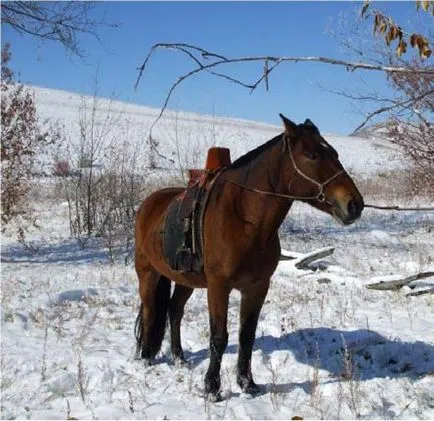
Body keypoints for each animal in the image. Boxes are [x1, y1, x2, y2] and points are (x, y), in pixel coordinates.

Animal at [134, 113, 364, 398]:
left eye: (334, 153)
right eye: (311, 155)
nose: (354, 204)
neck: (244, 219)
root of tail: (149, 204)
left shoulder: (256, 287)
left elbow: (247, 336)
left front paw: (247, 383)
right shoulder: (219, 287)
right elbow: (219, 336)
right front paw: (212, 387)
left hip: (185, 279)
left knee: (174, 311)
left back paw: (178, 357)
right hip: (147, 273)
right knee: (150, 311)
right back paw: (145, 357)